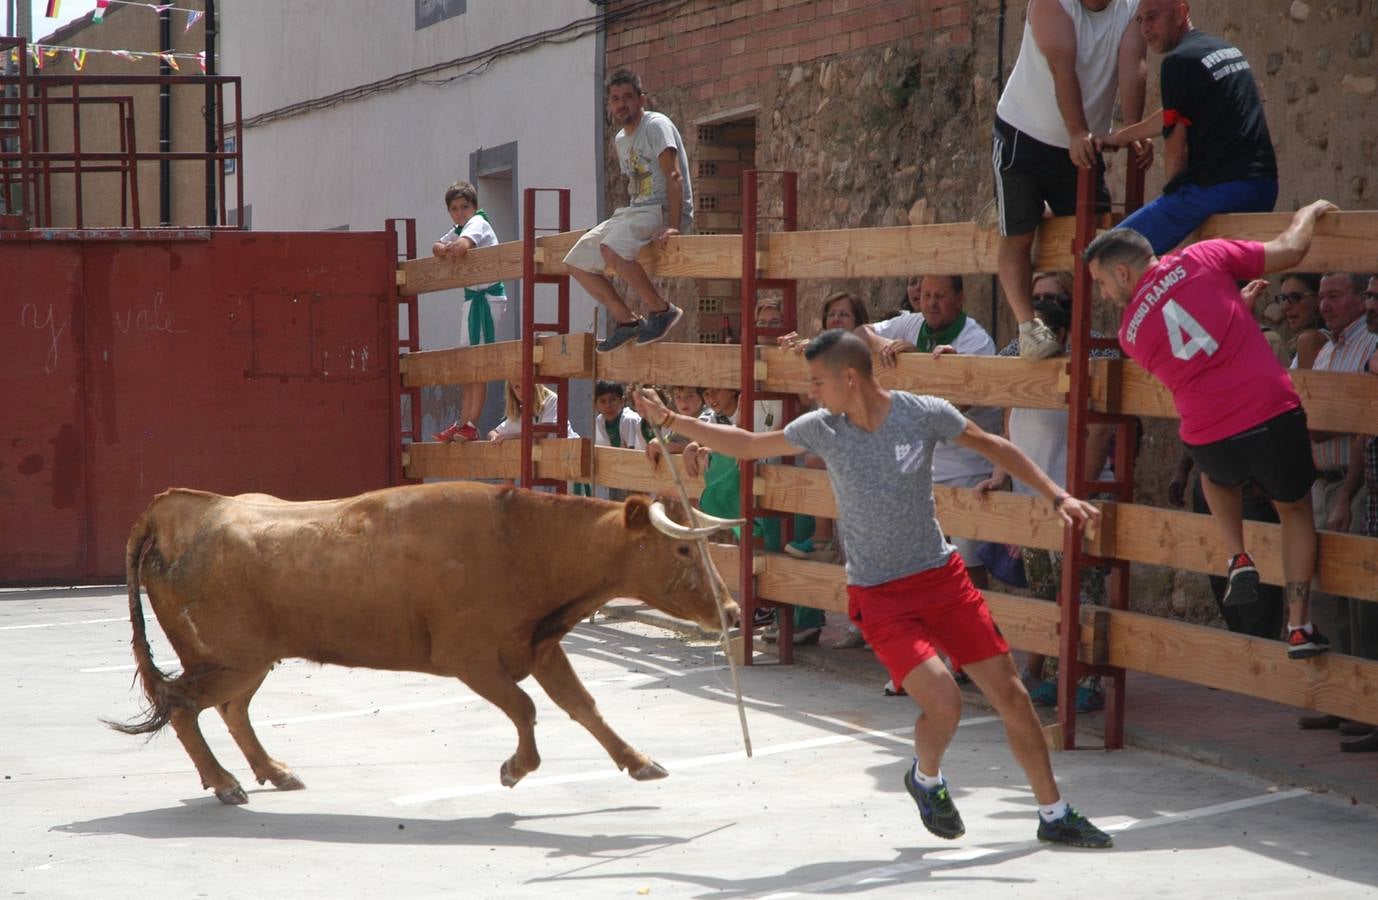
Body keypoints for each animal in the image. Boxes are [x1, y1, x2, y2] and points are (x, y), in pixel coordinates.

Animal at [111, 479, 738, 804]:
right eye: (683, 549)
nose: (732, 612)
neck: (522, 542)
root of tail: (177, 511)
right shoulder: (470, 657)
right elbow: (527, 708)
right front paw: (515, 768)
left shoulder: (538, 646)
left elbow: (582, 706)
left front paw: (639, 762)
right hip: (230, 660)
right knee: (184, 705)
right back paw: (224, 784)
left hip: (247, 662)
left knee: (230, 710)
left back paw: (275, 771)